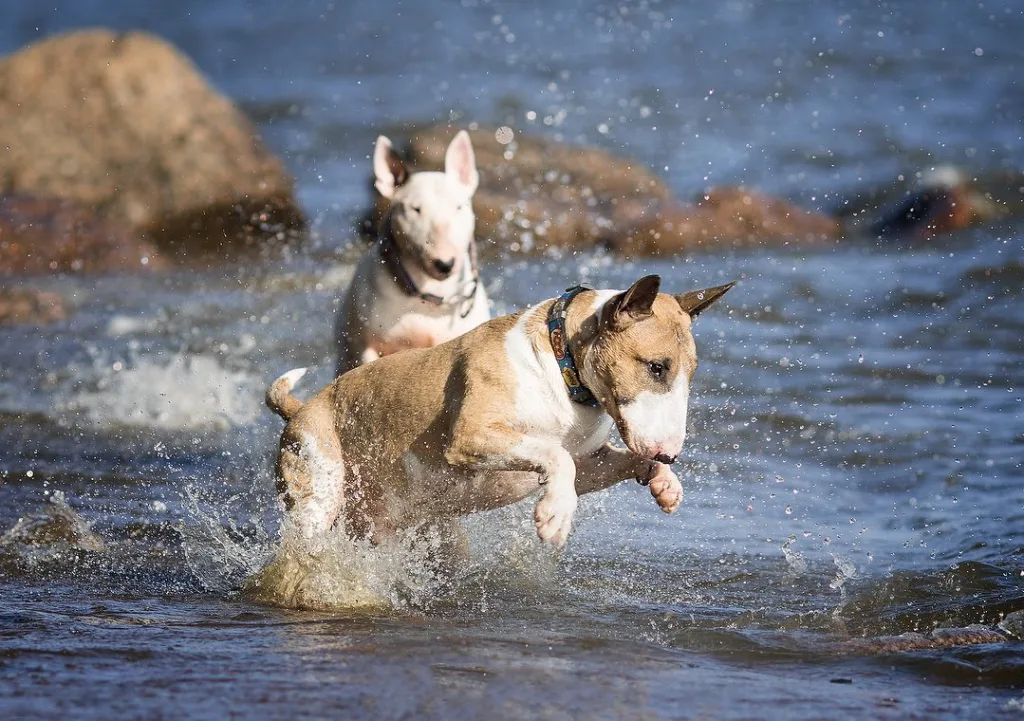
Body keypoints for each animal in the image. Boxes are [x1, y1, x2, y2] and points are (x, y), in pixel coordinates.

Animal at [270, 276, 737, 544]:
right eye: (656, 367)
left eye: (690, 373)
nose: (669, 454)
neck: (562, 366)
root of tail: (301, 408)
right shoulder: (472, 435)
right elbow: (557, 456)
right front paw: (555, 517)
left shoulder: (590, 463)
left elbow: (589, 463)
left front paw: (664, 483)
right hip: (318, 486)